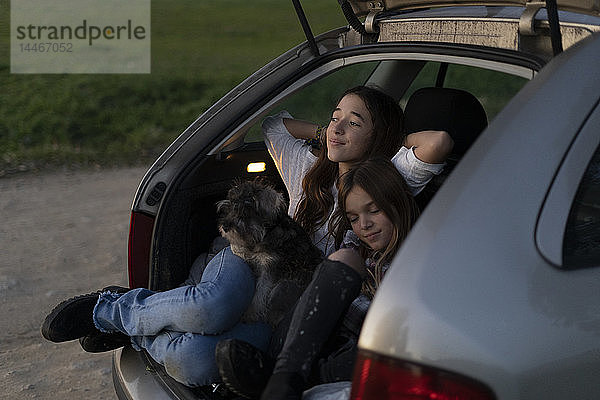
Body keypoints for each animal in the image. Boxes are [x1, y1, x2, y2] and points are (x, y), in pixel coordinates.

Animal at [217, 180, 324, 326]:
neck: (264, 234)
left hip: (283, 287)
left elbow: (260, 293)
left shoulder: (270, 269)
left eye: (245, 211)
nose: (225, 227)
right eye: (229, 207)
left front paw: (250, 314)